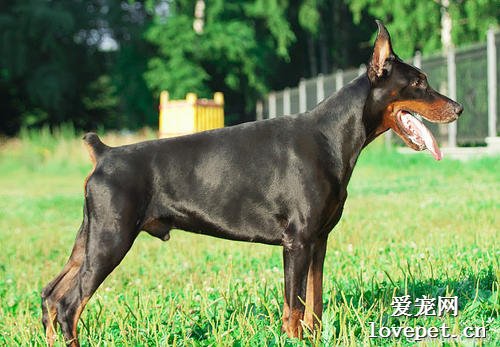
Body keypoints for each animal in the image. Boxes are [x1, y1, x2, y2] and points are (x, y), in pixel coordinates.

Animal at [42, 21, 460, 346]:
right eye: (419, 82)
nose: (458, 108)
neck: (331, 138)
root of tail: (104, 154)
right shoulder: (297, 241)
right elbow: (294, 310)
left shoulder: (319, 240)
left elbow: (315, 304)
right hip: (111, 239)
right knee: (68, 305)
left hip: (89, 238)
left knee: (50, 295)